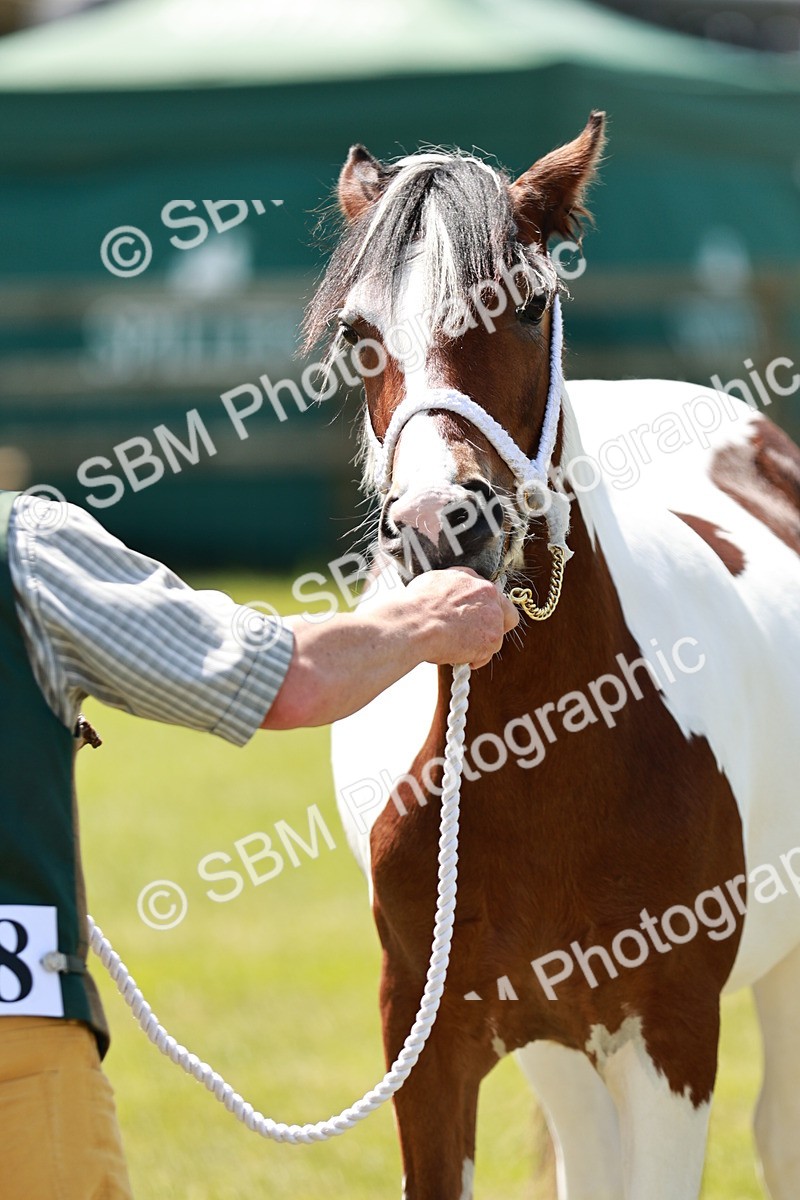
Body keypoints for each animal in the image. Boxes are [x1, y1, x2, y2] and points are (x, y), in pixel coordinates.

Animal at [304, 112, 800, 1199]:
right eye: (358, 334)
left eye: (528, 306)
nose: (442, 526)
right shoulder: (428, 1041)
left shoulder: (670, 1037)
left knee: (779, 1134)